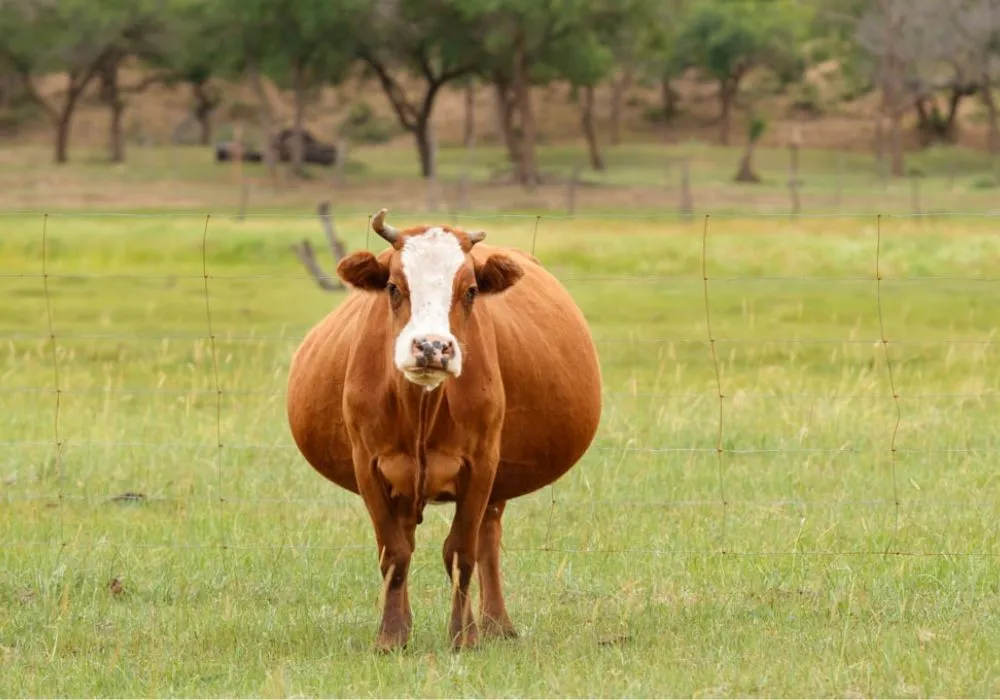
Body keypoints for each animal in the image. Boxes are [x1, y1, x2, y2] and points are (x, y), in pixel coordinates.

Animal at [290, 206, 600, 652]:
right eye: (393, 287)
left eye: (470, 290)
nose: (432, 347)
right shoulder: (368, 464)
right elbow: (393, 551)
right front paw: (391, 636)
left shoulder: (481, 463)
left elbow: (460, 552)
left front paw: (463, 637)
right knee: (411, 541)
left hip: (495, 478)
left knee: (487, 539)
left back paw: (495, 625)